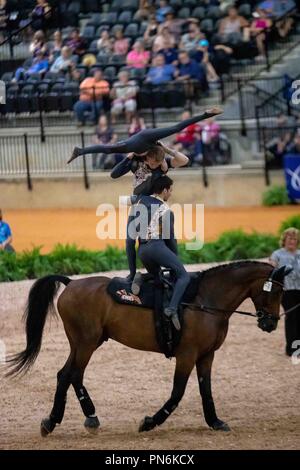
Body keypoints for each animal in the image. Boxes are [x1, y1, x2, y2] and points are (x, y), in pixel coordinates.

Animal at [6, 258, 288, 436]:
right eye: (275, 292)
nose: (271, 323)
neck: (205, 301)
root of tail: (71, 283)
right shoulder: (187, 355)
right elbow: (177, 393)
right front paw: (150, 422)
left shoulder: (207, 355)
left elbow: (206, 390)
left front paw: (215, 421)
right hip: (86, 343)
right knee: (73, 374)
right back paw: (69, 420)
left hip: (84, 343)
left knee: (67, 375)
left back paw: (69, 419)